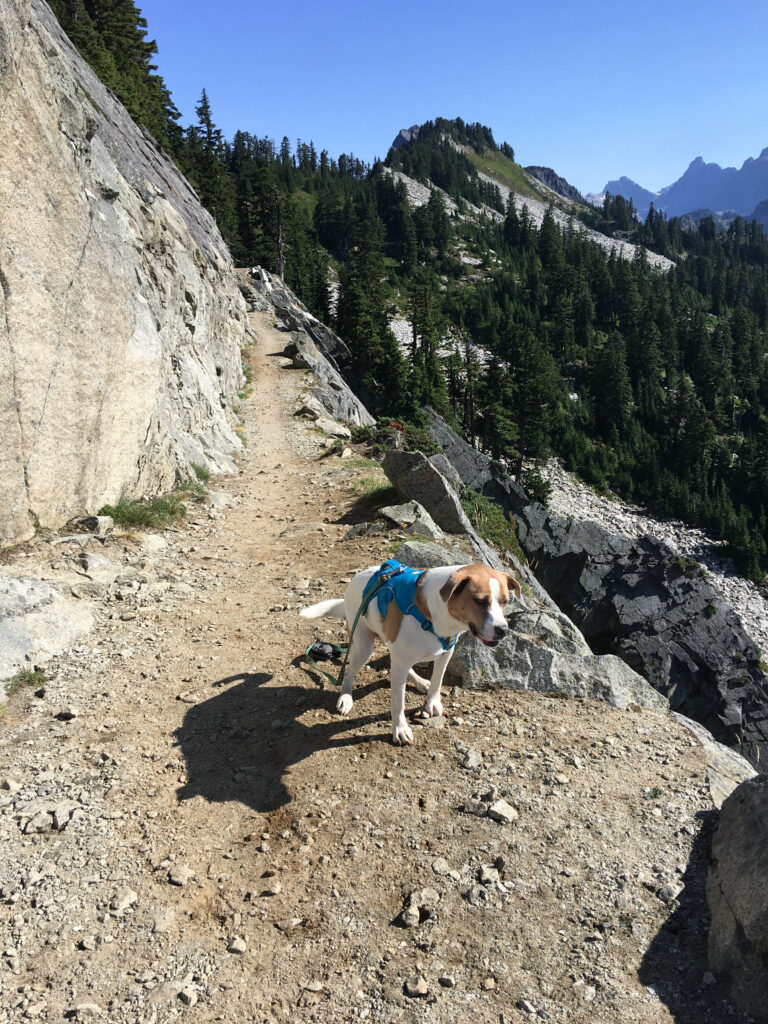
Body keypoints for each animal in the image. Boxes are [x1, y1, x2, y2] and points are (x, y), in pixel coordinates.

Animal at [301, 561, 524, 745]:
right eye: (479, 601)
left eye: (505, 601)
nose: (503, 630)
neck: (435, 613)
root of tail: (355, 580)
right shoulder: (403, 661)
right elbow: (398, 703)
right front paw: (400, 729)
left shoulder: (445, 653)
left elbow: (437, 681)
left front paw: (432, 701)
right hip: (363, 646)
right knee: (349, 671)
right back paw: (346, 698)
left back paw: (420, 682)